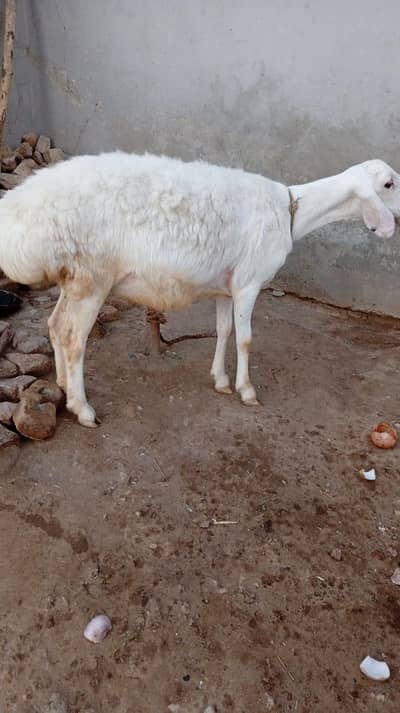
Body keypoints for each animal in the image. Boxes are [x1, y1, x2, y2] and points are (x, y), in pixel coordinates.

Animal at [0, 152, 398, 427]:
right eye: (389, 184)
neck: (291, 211)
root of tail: (19, 218)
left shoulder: (226, 287)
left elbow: (223, 331)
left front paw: (221, 380)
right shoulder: (249, 282)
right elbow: (246, 339)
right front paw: (247, 390)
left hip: (73, 278)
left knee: (55, 326)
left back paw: (64, 387)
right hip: (91, 276)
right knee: (72, 338)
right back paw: (83, 409)